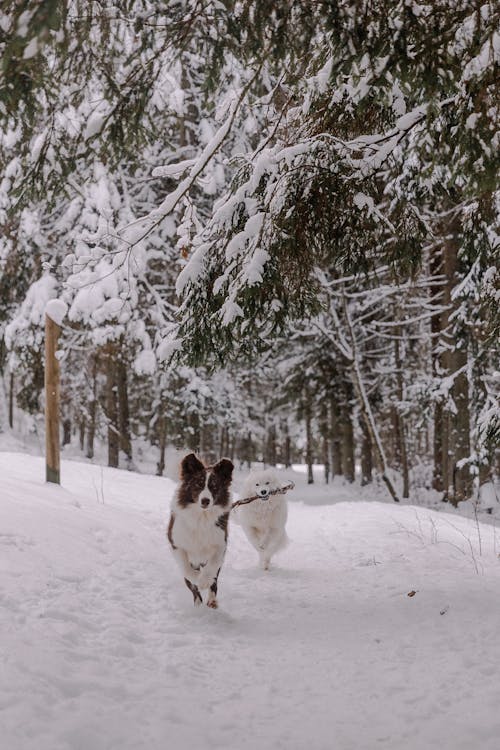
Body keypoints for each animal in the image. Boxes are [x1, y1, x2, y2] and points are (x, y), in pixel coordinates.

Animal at [166, 456, 232, 608]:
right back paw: (197, 603)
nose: (205, 500)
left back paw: (212, 600)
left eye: (214, 486)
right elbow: (186, 569)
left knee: (214, 580)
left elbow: (212, 565)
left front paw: (204, 581)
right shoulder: (176, 542)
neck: (202, 516)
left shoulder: (221, 543)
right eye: (198, 484)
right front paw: (197, 579)